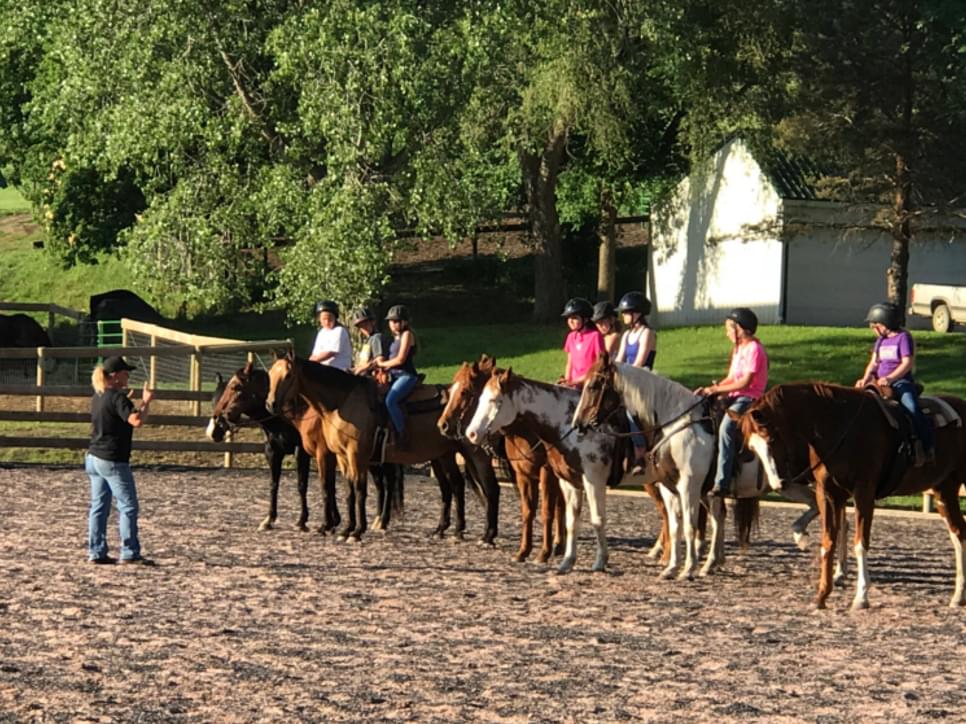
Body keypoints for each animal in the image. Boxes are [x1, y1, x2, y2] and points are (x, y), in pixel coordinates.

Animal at [267, 353, 500, 543]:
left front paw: (355, 531)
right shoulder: (342, 457)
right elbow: (348, 491)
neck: (342, 402)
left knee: (490, 488)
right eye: (270, 374)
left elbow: (357, 490)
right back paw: (449, 530)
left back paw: (486, 535)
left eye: (288, 375)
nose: (270, 404)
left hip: (475, 453)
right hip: (443, 455)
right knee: (455, 486)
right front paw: (346, 528)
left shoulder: (353, 455)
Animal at [438, 355, 565, 564]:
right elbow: (526, 508)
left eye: (465, 391)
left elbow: (544, 508)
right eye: (450, 391)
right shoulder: (520, 471)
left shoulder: (544, 471)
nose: (443, 425)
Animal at [465, 369, 626, 574]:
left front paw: (544, 554)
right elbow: (532, 511)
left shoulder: (576, 476)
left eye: (494, 400)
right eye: (478, 399)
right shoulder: (533, 476)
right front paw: (524, 552)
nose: (471, 434)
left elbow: (552, 512)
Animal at [737, 382, 966, 609]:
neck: (838, 426)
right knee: (958, 533)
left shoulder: (863, 492)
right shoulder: (828, 493)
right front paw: (822, 595)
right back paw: (958, 596)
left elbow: (860, 543)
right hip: (944, 489)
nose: (779, 483)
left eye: (771, 439)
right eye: (752, 448)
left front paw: (861, 597)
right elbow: (828, 541)